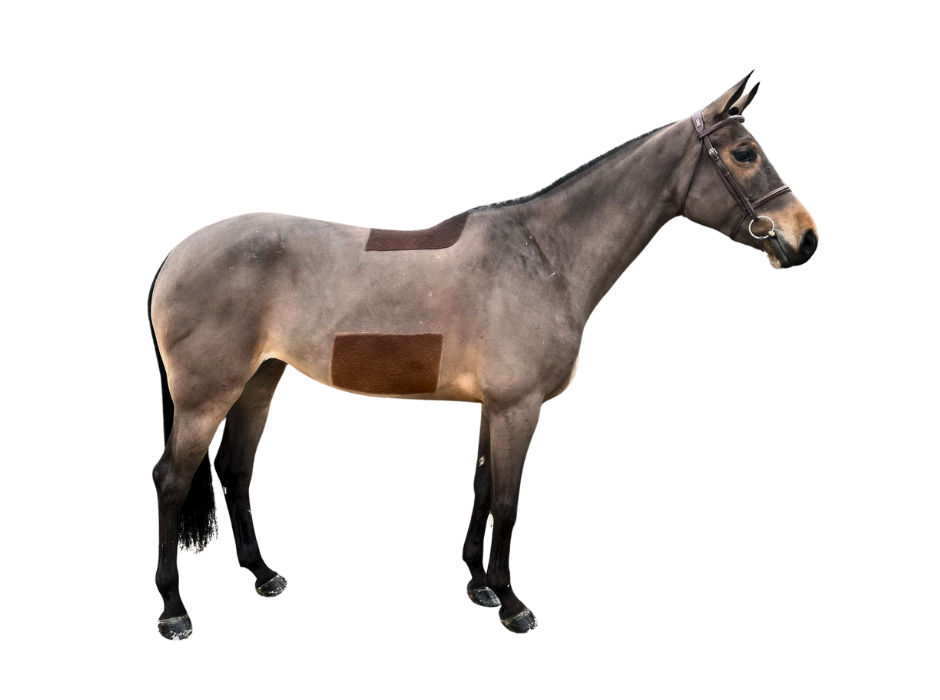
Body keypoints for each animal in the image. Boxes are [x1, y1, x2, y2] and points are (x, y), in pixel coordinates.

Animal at [149, 70, 819, 641]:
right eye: (743, 154)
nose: (806, 237)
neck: (542, 255)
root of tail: (179, 255)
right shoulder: (519, 407)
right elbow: (508, 500)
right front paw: (512, 602)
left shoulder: (493, 407)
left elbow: (481, 487)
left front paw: (478, 586)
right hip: (206, 396)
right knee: (173, 482)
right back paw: (174, 610)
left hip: (259, 381)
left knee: (235, 471)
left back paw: (263, 576)